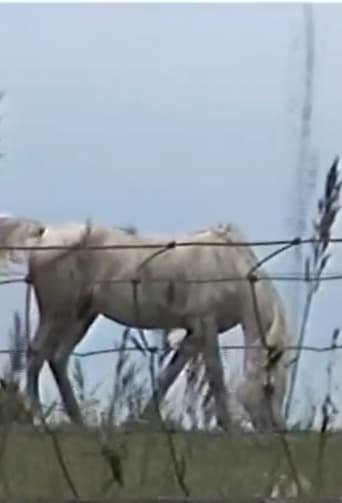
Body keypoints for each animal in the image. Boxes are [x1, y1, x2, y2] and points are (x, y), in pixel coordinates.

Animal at [0, 216, 292, 430]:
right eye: (268, 387)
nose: (275, 430)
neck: (230, 266)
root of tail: (44, 233)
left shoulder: (194, 332)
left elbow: (169, 374)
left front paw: (142, 419)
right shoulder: (205, 325)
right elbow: (216, 375)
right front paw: (228, 426)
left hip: (82, 315)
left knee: (57, 358)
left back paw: (78, 421)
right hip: (57, 312)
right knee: (36, 355)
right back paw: (38, 419)